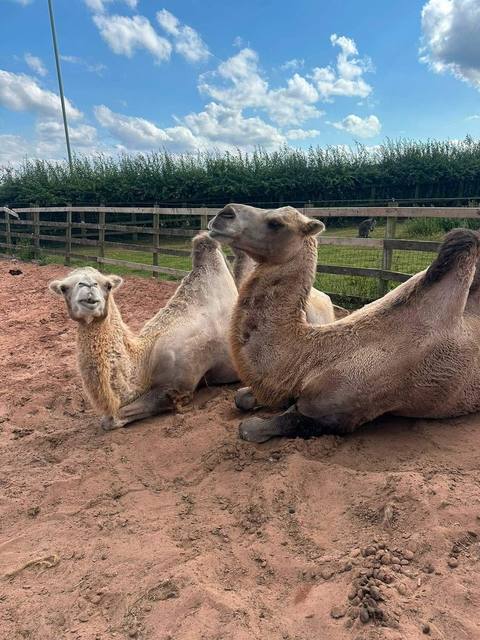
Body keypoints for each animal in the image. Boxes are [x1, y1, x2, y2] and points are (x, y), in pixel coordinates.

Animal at [48, 232, 238, 429]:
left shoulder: (178, 387)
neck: (146, 359)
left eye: (107, 285)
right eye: (64, 288)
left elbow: (112, 419)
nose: (88, 288)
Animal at [208, 203, 480, 443]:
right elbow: (242, 397)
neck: (309, 357)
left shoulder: (338, 413)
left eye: (276, 223)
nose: (224, 213)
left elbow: (253, 427)